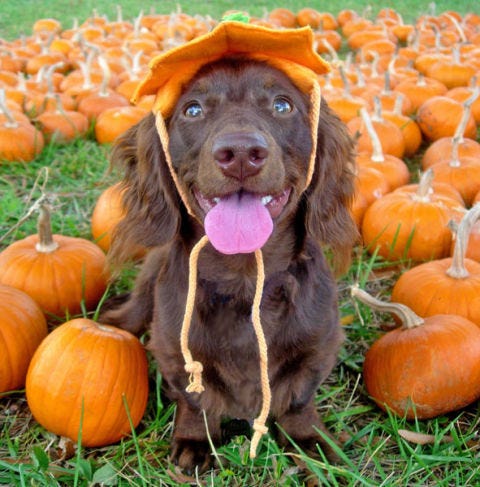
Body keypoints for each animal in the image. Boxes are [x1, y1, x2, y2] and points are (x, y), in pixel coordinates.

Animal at [105, 56, 358, 472]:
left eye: (283, 105)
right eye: (192, 110)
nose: (241, 153)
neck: (243, 278)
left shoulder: (319, 347)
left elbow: (300, 401)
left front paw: (310, 442)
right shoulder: (173, 351)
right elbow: (194, 401)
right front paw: (194, 441)